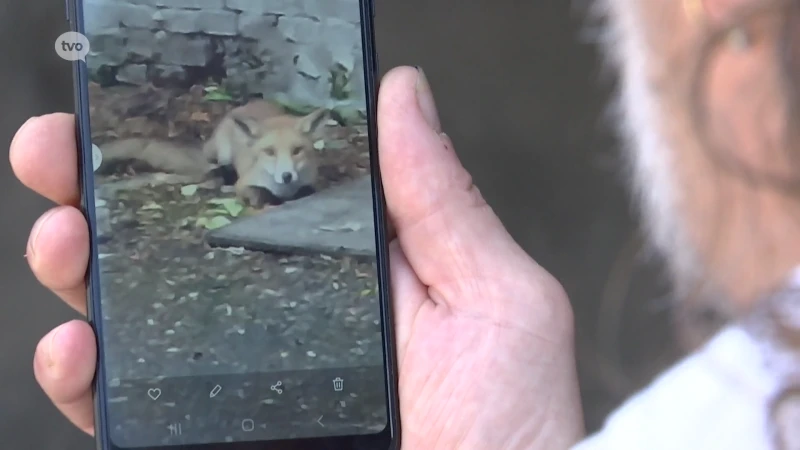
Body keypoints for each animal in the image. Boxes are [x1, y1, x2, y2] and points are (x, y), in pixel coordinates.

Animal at [94, 98, 328, 207]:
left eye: (297, 150)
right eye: (269, 151)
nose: (286, 176)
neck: (284, 190)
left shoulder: (311, 182)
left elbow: (307, 191)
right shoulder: (245, 183)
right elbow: (257, 192)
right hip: (221, 155)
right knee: (215, 171)